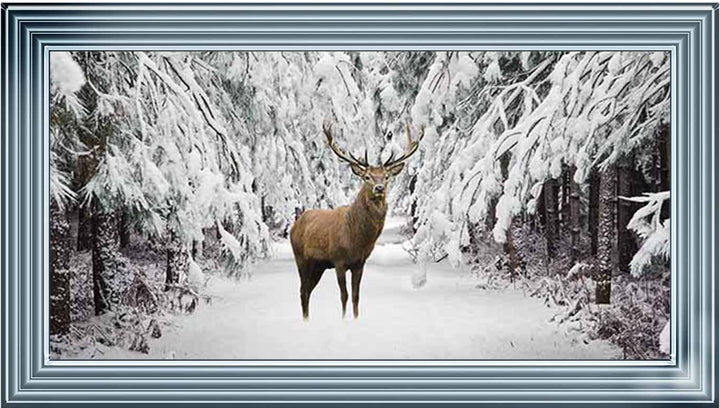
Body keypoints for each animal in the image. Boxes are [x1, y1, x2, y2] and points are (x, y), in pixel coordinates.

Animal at [290, 123, 423, 320]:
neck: (356, 239)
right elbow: (344, 295)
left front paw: (355, 319)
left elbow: (355, 296)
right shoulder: (338, 260)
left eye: (386, 176)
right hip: (301, 258)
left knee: (307, 291)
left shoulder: (359, 263)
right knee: (302, 291)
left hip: (318, 265)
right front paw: (344, 320)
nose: (379, 188)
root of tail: (295, 224)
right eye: (367, 176)